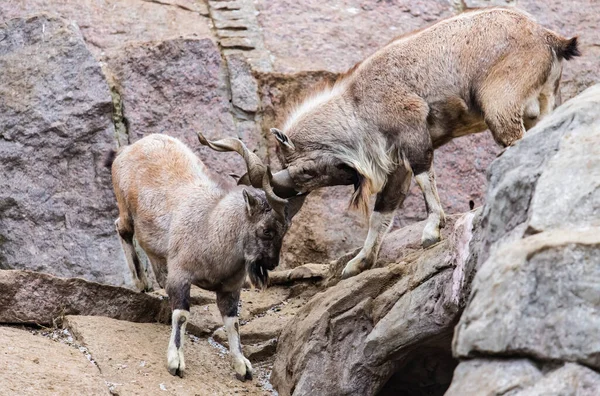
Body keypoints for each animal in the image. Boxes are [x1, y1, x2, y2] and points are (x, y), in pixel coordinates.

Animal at [106, 134, 304, 380]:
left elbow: (233, 322)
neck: (210, 227)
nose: (273, 263)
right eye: (266, 230)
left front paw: (243, 366)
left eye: (285, 230)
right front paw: (176, 362)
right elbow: (182, 314)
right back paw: (141, 282)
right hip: (124, 206)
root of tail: (127, 148)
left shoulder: (230, 288)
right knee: (122, 228)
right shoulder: (181, 274)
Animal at [237, 6, 580, 278]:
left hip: (500, 104)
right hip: (544, 103)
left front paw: (431, 231)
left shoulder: (412, 131)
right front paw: (358, 263)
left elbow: (424, 176)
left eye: (305, 171)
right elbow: (382, 211)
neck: (357, 104)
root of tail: (549, 38)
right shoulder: (395, 163)